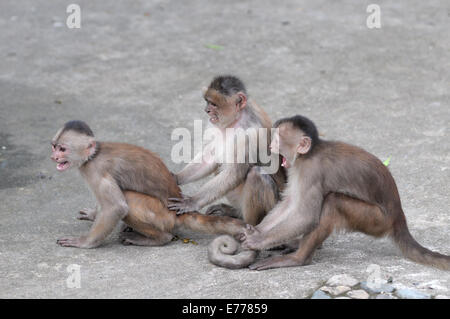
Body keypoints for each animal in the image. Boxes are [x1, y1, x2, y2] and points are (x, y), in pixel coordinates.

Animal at [52, 121, 250, 249]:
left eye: (63, 149)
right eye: (54, 146)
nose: (54, 157)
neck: (93, 155)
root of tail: (178, 213)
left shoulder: (95, 169)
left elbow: (116, 207)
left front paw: (83, 242)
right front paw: (93, 214)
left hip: (164, 217)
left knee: (130, 200)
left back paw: (160, 238)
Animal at [169, 75, 284, 226]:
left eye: (213, 104)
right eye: (207, 102)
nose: (207, 110)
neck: (237, 119)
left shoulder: (250, 133)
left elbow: (233, 174)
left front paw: (192, 202)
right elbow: (210, 159)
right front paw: (176, 178)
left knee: (257, 175)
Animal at [210, 116, 450, 272]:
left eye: (278, 139)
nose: (271, 145)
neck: (310, 153)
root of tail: (399, 216)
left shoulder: (311, 169)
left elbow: (305, 214)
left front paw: (257, 240)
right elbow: (290, 203)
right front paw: (255, 231)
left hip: (377, 221)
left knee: (332, 202)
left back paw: (298, 258)